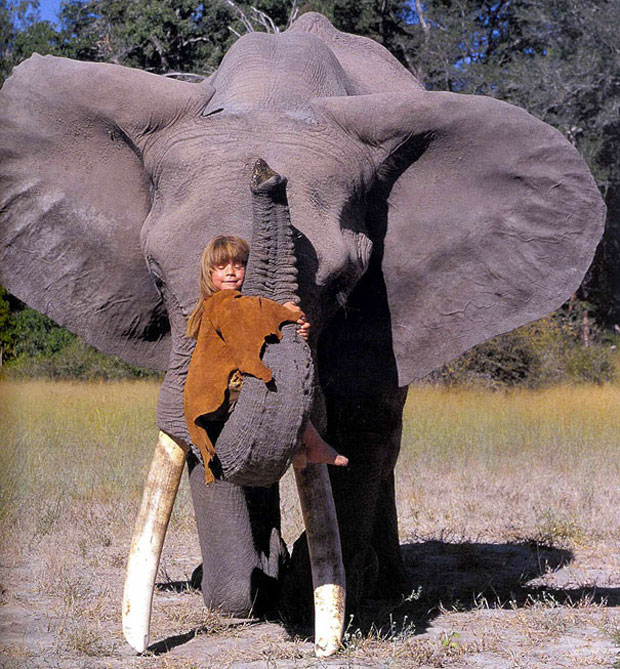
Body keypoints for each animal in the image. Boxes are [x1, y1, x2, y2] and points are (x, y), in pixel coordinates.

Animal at [0, 9, 604, 656]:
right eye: (156, 274)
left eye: (344, 283)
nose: (267, 175)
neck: (273, 94)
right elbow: (200, 434)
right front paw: (247, 587)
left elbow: (361, 423)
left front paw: (315, 594)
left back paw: (379, 580)